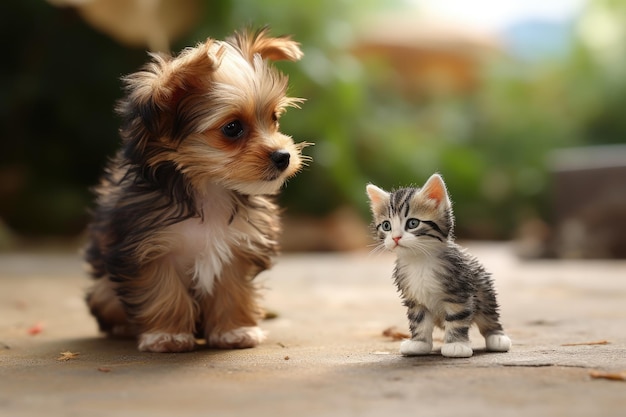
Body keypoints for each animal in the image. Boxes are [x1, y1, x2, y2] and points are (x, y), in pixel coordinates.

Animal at [83, 27, 308, 352]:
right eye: (232, 128)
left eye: (274, 118)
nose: (283, 156)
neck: (209, 189)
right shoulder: (148, 249)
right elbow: (163, 293)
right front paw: (168, 335)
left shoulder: (237, 247)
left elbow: (232, 290)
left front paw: (234, 330)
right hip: (103, 289)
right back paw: (124, 327)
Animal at [364, 173, 510, 358]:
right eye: (386, 225)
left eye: (412, 223)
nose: (395, 238)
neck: (419, 260)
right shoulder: (415, 299)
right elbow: (419, 321)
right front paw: (419, 343)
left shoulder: (459, 293)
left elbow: (457, 319)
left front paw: (456, 345)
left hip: (484, 290)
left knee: (489, 316)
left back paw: (497, 338)